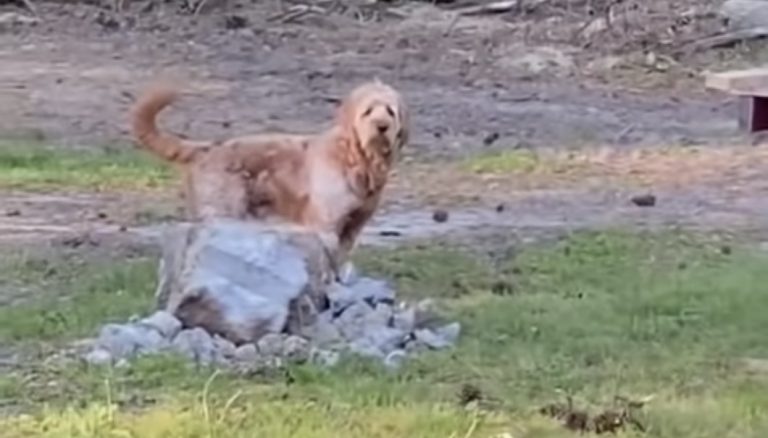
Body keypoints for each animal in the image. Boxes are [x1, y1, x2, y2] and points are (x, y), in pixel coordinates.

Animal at [131, 80, 408, 268]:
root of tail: (208, 148)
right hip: (221, 213)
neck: (354, 157)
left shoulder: (352, 228)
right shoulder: (325, 226)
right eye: (368, 111)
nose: (382, 126)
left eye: (390, 111)